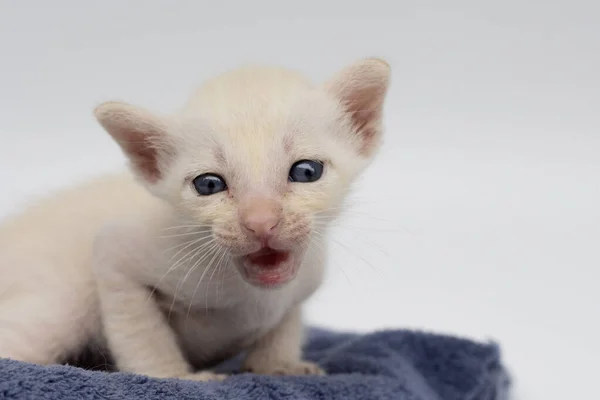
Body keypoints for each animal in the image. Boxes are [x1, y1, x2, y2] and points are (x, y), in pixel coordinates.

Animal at [0, 57, 392, 380]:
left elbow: (285, 325)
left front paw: (278, 365)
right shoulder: (116, 257)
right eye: (209, 184)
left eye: (307, 171)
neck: (253, 295)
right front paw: (170, 375)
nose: (261, 222)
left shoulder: (300, 284)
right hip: (60, 307)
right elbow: (140, 331)